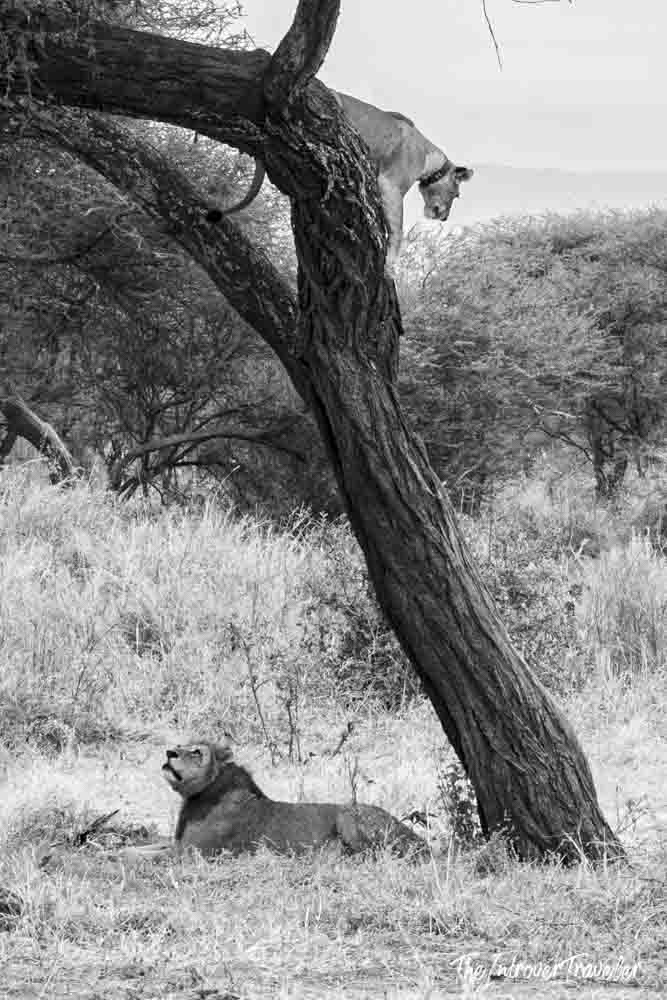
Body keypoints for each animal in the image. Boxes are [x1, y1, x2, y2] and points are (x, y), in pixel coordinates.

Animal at [160, 742, 428, 858]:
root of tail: (422, 843)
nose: (169, 752)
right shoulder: (179, 846)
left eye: (196, 752)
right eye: (179, 746)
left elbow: (152, 856)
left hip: (347, 815)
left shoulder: (192, 852)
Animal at [206, 90, 472, 277]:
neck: (431, 158)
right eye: (456, 195)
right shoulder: (390, 183)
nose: (444, 217)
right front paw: (390, 265)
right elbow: (398, 229)